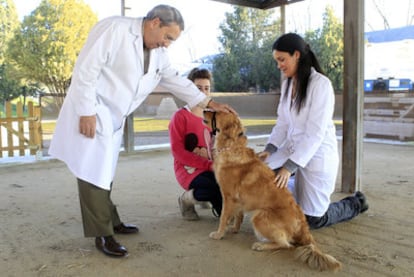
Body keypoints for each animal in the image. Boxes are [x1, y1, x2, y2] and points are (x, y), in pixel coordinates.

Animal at [204, 110, 342, 272]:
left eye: (217, 113)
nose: (204, 109)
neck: (232, 147)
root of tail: (302, 225)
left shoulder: (228, 196)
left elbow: (223, 217)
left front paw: (219, 234)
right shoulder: (238, 199)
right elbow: (238, 216)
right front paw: (234, 229)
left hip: (259, 216)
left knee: (286, 244)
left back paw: (261, 245)